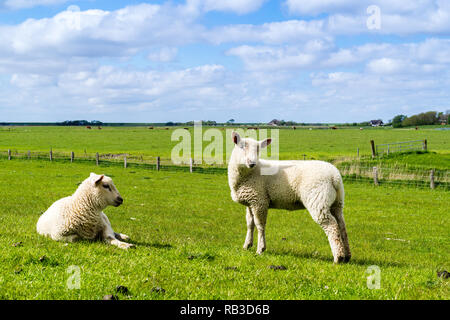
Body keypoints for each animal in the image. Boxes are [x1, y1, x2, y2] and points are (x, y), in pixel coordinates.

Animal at [229, 131, 352, 264]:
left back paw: (338, 257)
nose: (252, 163)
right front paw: (247, 245)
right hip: (336, 202)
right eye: (242, 146)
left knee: (332, 226)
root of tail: (335, 177)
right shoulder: (250, 202)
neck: (250, 173)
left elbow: (260, 225)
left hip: (318, 201)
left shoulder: (259, 201)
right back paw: (347, 256)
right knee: (341, 225)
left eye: (258, 149)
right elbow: (250, 224)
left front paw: (260, 249)